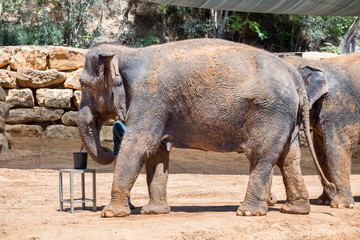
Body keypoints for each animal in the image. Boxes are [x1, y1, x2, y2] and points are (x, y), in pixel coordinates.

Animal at [76, 38, 334, 218]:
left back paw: (247, 212)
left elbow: (138, 146)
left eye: (84, 84)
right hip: (286, 116)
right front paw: (153, 212)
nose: (108, 149)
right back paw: (294, 210)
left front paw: (110, 214)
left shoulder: (149, 98)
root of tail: (296, 78)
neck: (129, 52)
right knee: (289, 158)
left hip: (271, 112)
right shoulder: (157, 106)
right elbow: (157, 152)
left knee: (261, 155)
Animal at [280, 54, 358, 208]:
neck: (314, 63)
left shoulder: (338, 106)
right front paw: (324, 201)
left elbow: (336, 146)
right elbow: (320, 149)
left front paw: (341, 205)